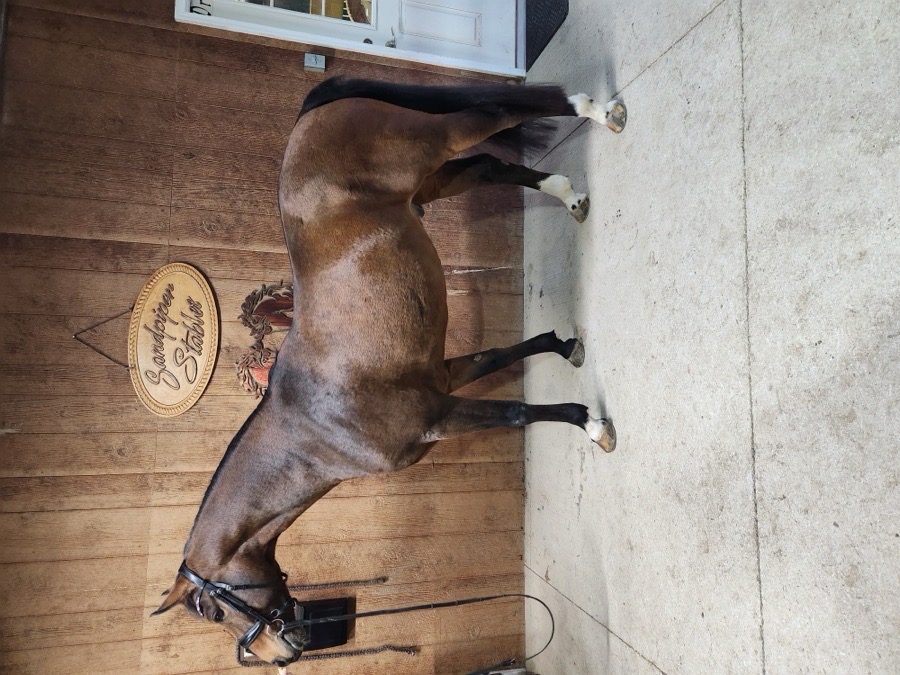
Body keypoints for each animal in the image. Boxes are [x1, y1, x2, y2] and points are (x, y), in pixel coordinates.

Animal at [152, 76, 625, 667]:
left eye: (213, 611)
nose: (282, 654)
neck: (316, 431)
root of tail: (308, 116)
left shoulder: (441, 416)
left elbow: (517, 410)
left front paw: (593, 425)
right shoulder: (444, 379)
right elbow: (503, 356)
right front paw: (562, 346)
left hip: (433, 143)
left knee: (500, 110)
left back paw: (601, 113)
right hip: (431, 181)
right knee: (489, 165)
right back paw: (571, 195)